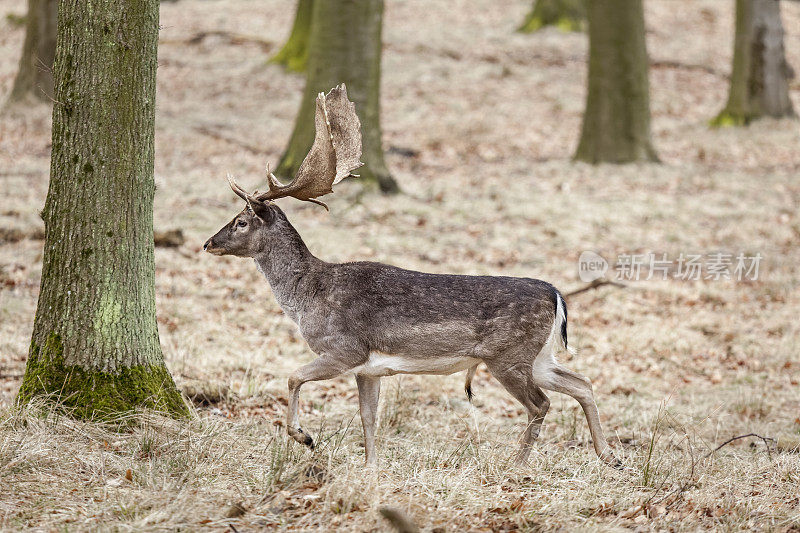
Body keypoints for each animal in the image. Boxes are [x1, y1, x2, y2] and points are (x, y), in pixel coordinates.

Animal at [203, 83, 616, 466]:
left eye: (240, 222)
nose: (208, 243)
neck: (309, 296)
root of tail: (556, 294)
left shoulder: (344, 347)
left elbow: (293, 376)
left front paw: (304, 437)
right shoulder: (368, 369)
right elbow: (368, 417)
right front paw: (370, 468)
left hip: (508, 355)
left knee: (541, 403)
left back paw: (516, 464)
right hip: (539, 356)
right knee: (582, 383)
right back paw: (609, 455)